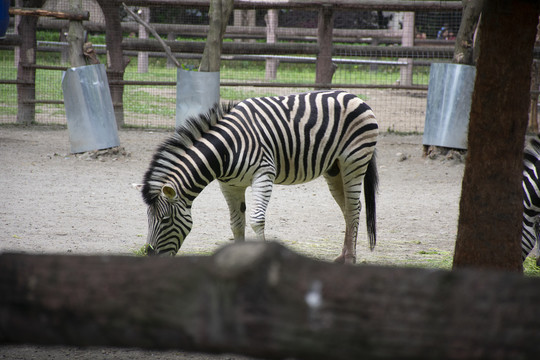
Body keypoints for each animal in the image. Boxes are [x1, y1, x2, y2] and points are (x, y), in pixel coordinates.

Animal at [139, 90, 378, 264]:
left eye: (165, 220)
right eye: (148, 219)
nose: (149, 257)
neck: (226, 149)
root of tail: (354, 96)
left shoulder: (264, 174)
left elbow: (256, 219)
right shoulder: (230, 186)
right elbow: (236, 223)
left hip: (354, 162)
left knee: (353, 208)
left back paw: (350, 259)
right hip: (334, 169)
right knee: (351, 208)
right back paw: (343, 256)